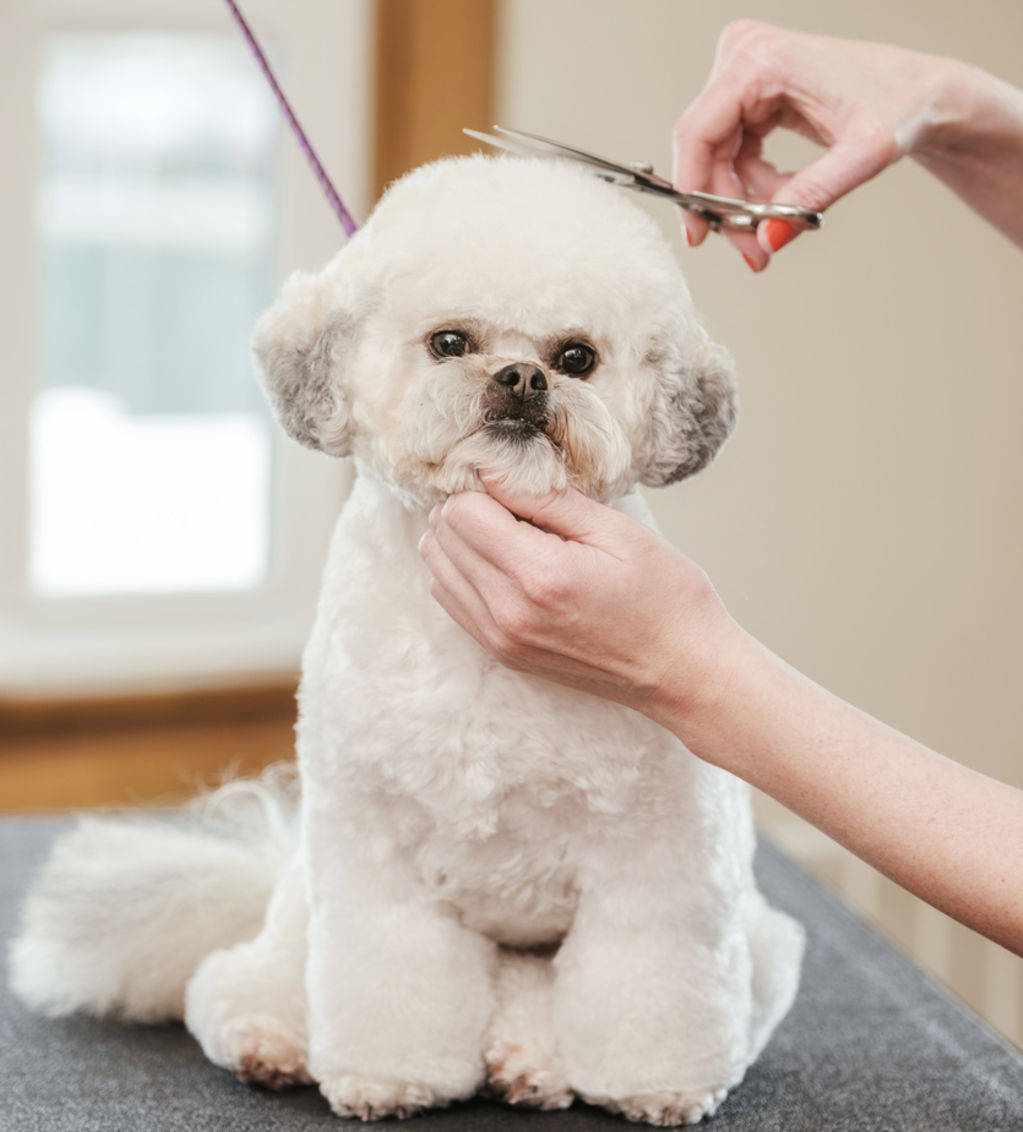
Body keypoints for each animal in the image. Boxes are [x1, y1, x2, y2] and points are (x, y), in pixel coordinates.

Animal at [9, 152, 805, 1122]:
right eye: (450, 342)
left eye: (576, 357)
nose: (522, 379)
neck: (482, 660)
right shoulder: (372, 852)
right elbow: (387, 977)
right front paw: (390, 1080)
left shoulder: (663, 860)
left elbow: (649, 979)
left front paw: (655, 1086)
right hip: (304, 894)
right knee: (234, 981)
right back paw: (272, 1039)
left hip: (757, 944)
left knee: (538, 996)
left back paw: (530, 1061)